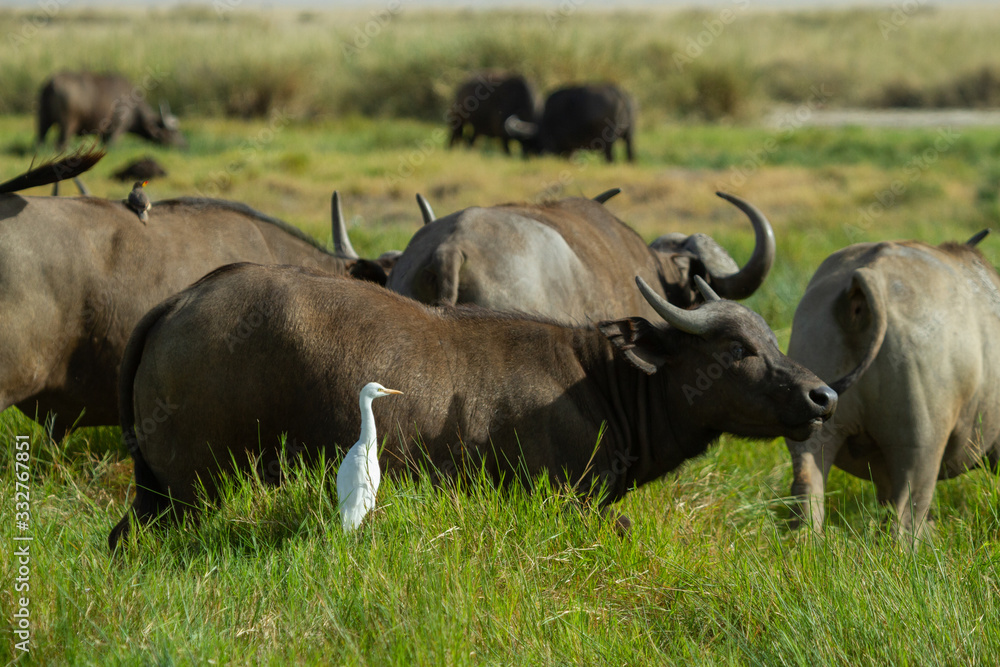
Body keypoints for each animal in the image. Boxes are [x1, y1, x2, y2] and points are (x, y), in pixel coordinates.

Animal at [37, 71, 186, 150]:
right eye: (174, 133)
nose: (185, 145)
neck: (133, 108)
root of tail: (53, 83)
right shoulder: (116, 130)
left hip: (43, 120)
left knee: (41, 139)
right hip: (67, 125)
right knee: (61, 143)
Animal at [108, 262, 841, 549]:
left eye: (772, 340)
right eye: (736, 348)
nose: (823, 394)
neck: (602, 383)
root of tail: (180, 303)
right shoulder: (565, 498)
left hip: (155, 494)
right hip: (195, 491)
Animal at [505, 83, 634, 162]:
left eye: (526, 143)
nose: (523, 157)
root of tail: (618, 92)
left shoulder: (551, 146)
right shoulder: (570, 150)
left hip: (608, 142)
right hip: (630, 135)